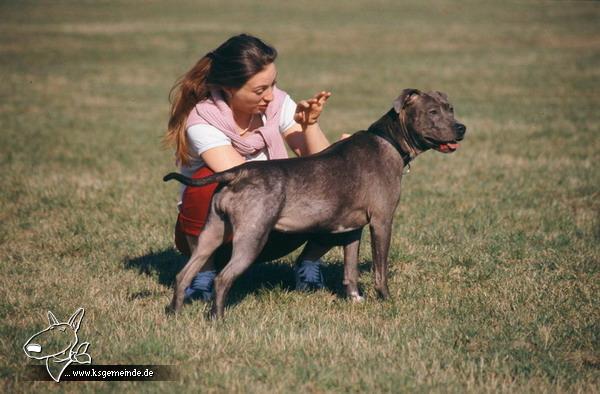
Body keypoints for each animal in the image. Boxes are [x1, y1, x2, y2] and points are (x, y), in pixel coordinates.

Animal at [163, 87, 464, 318]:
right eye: (432, 112)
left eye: (450, 108)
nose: (461, 128)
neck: (389, 140)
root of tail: (238, 172)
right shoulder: (382, 222)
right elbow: (381, 269)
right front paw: (386, 299)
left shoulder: (351, 229)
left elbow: (350, 270)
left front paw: (355, 298)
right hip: (252, 236)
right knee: (222, 278)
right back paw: (218, 318)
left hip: (211, 234)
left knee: (184, 274)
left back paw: (175, 313)